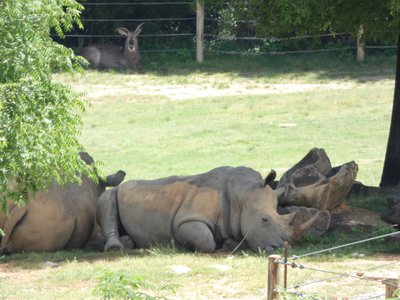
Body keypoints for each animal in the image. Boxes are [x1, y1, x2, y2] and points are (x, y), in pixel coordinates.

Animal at [97, 166, 318, 253]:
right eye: (264, 220)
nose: (281, 247)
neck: (242, 195)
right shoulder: (186, 220)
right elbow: (206, 240)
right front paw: (184, 245)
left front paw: (229, 244)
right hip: (114, 190)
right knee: (107, 201)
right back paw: (118, 247)